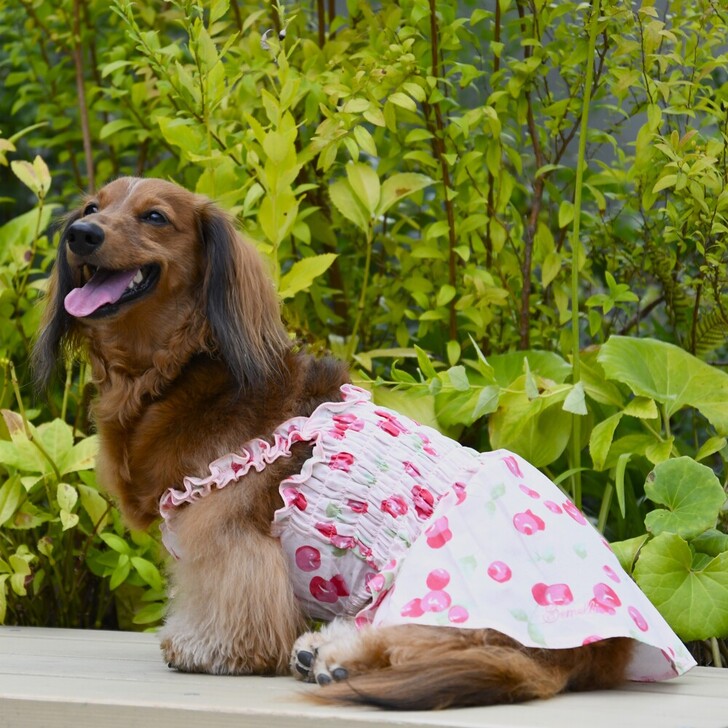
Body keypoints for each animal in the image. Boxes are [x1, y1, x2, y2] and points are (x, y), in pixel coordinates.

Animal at [34, 177, 694, 710]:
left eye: (154, 216)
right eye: (93, 206)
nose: (80, 234)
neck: (176, 371)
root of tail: (597, 654)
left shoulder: (226, 535)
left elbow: (222, 600)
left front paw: (208, 649)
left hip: (442, 578)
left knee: (448, 644)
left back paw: (335, 659)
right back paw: (324, 648)